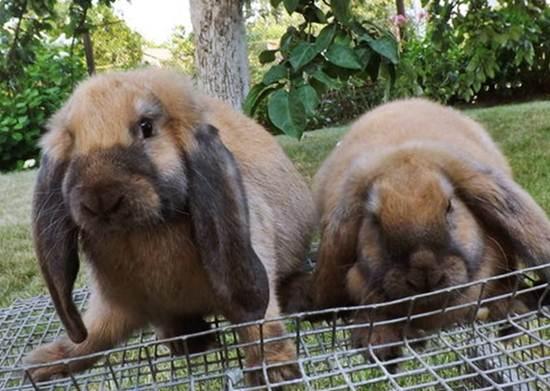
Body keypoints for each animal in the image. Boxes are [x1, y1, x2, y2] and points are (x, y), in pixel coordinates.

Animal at [23, 68, 316, 386]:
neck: (142, 233)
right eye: (72, 140)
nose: (100, 199)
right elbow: (90, 340)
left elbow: (260, 326)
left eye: (146, 126)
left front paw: (275, 371)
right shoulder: (120, 306)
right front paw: (42, 364)